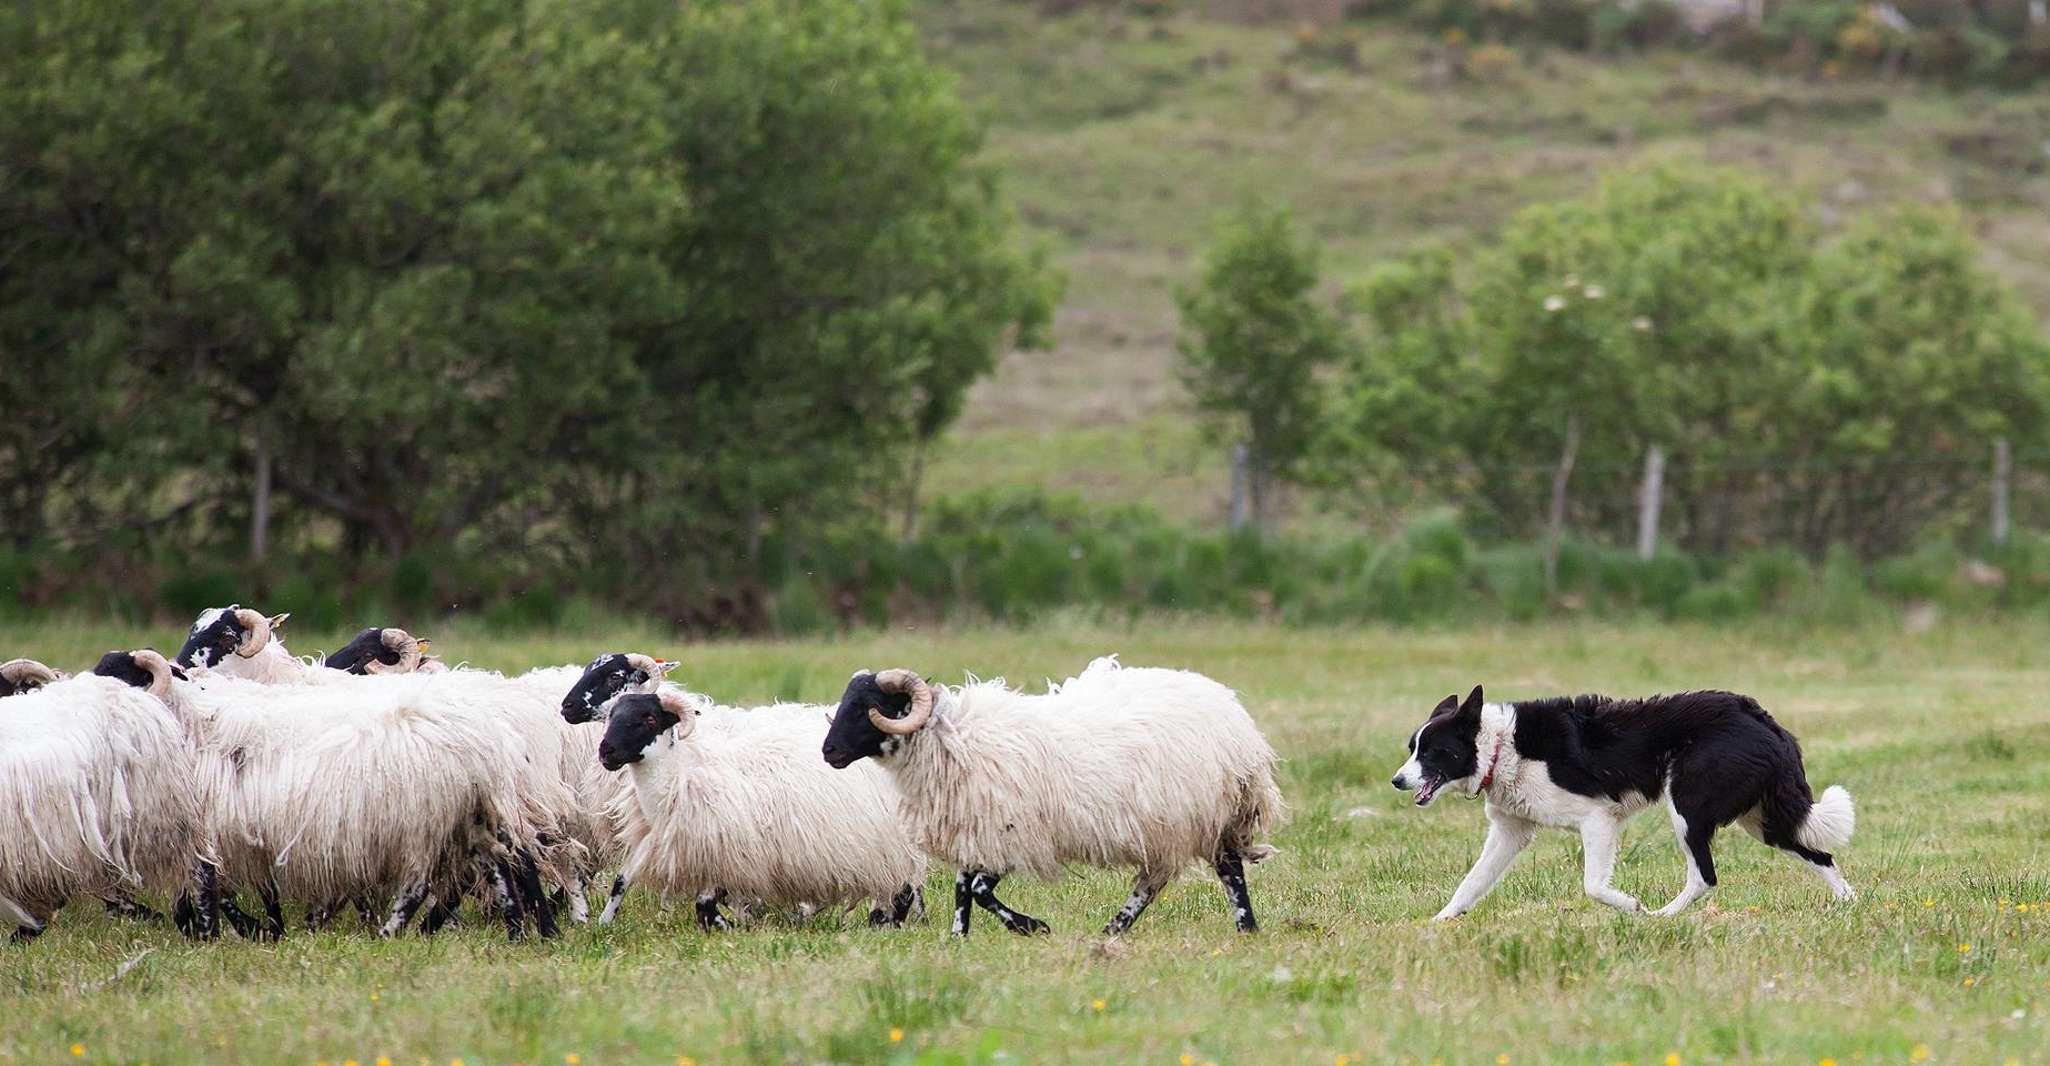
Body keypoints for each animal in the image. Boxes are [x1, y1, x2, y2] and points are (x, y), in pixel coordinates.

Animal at [815, 651, 1279, 938]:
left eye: (871, 706)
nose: (828, 752)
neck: (952, 739)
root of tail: (1232, 711)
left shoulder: (1012, 834)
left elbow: (979, 890)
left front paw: (1031, 927)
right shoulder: (976, 825)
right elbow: (963, 889)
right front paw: (959, 937)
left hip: (1201, 813)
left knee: (1226, 869)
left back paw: (1244, 927)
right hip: (1175, 823)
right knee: (1159, 880)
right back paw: (1116, 929)